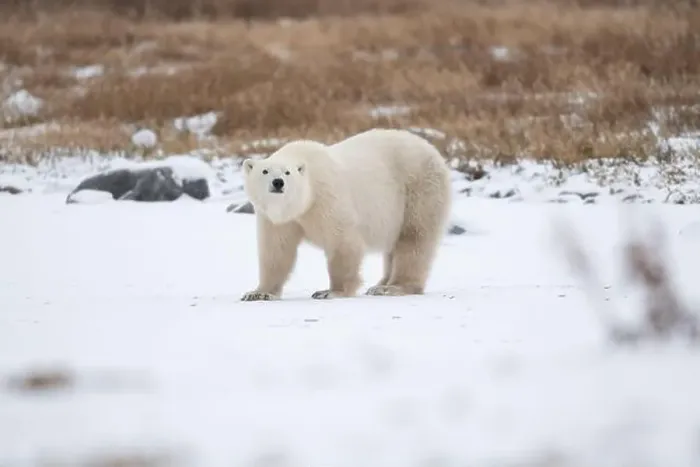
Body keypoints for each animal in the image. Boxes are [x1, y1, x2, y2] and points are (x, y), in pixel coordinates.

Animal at [240, 128, 452, 301]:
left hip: (419, 189)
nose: (278, 182)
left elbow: (343, 242)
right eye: (265, 171)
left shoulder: (326, 197)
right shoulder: (276, 219)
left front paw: (331, 291)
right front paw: (258, 293)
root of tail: (434, 152)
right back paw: (380, 284)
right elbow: (277, 251)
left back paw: (393, 287)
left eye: (287, 172)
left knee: (413, 238)